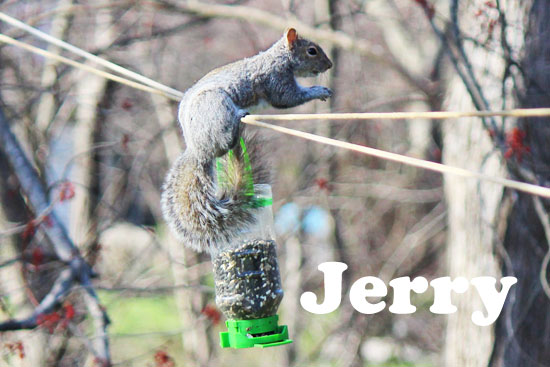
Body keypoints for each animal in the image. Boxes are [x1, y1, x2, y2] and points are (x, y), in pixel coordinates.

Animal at [162, 28, 334, 254]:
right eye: (311, 51)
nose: (329, 65)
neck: (278, 58)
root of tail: (197, 150)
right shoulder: (275, 79)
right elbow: (287, 98)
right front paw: (319, 91)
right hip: (217, 107)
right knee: (225, 142)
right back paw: (237, 121)